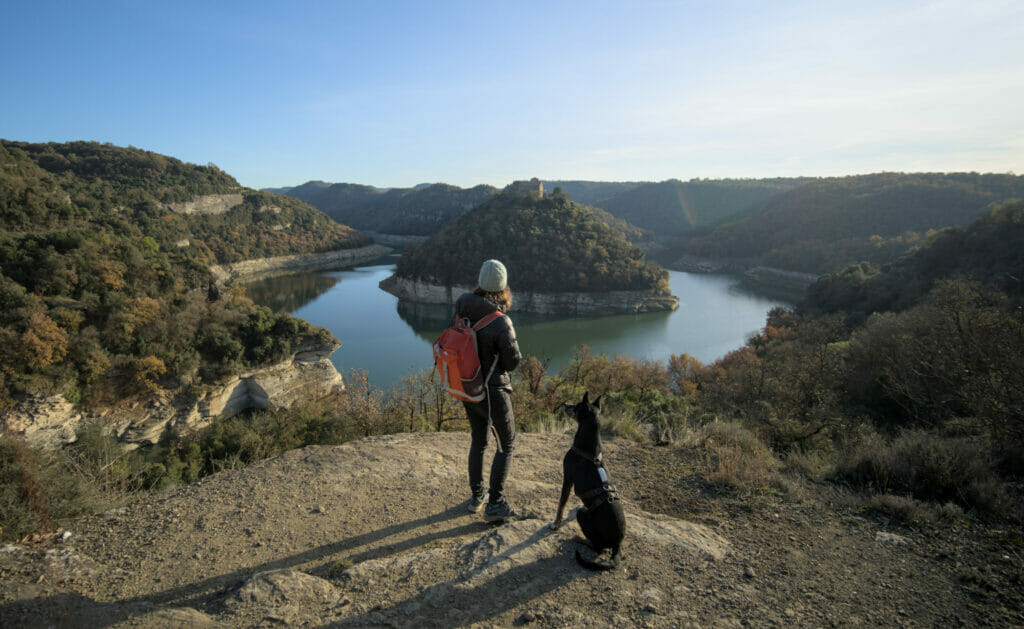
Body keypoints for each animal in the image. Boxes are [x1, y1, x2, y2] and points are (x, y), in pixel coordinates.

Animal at [552, 393, 622, 573]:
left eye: (576, 407)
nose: (565, 404)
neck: (589, 449)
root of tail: (618, 545)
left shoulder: (567, 478)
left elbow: (561, 504)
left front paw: (555, 524)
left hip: (582, 514)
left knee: (599, 548)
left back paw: (580, 538)